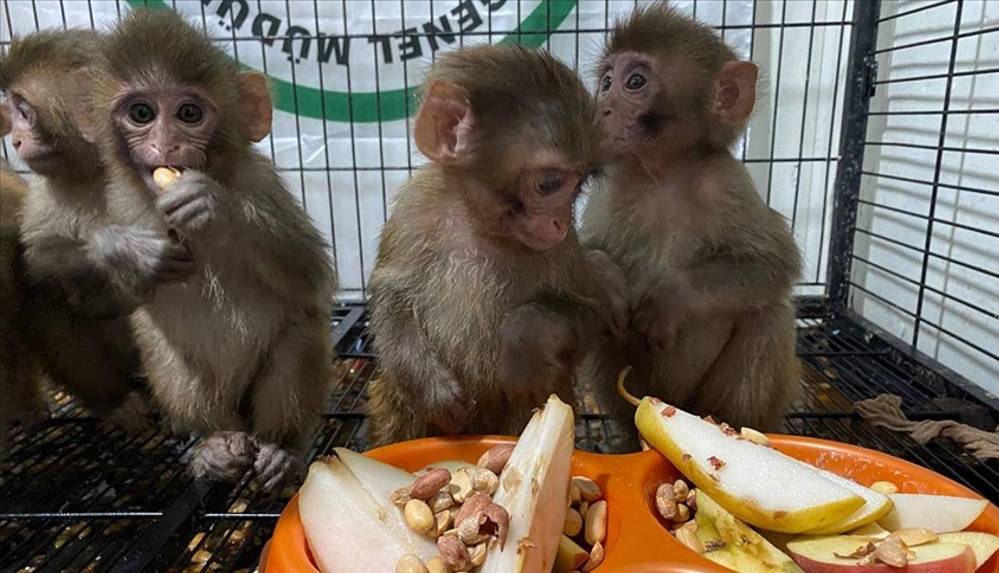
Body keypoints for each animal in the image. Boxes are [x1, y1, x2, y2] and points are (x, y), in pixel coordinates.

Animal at [0, 27, 157, 428]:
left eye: (24, 110)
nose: (15, 139)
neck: (99, 174)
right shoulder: (41, 202)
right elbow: (43, 269)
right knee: (45, 302)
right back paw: (118, 403)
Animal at [86, 8, 338, 488]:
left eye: (189, 113)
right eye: (141, 112)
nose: (165, 144)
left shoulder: (261, 184)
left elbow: (311, 275)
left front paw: (217, 210)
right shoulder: (116, 200)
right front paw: (128, 253)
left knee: (299, 330)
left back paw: (282, 450)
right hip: (215, 406)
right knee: (162, 348)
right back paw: (213, 447)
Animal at [364, 45, 604, 446]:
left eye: (578, 185)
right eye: (550, 185)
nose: (561, 220)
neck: (480, 225)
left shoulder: (562, 247)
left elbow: (589, 317)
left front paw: (525, 337)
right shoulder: (415, 209)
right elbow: (391, 295)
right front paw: (429, 386)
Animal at [580, 4, 804, 436]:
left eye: (635, 82)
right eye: (606, 82)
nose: (600, 109)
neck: (664, 174)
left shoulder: (728, 184)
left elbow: (772, 263)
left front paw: (669, 296)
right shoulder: (608, 189)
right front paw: (604, 274)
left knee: (769, 315)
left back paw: (738, 428)